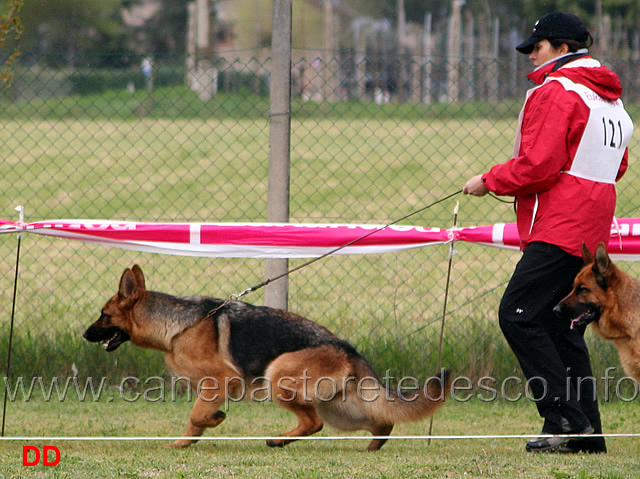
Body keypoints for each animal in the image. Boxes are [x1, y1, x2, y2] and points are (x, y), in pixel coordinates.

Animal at [84, 266, 450, 450]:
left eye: (104, 315)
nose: (85, 335)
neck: (177, 325)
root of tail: (347, 347)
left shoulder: (222, 381)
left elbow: (197, 414)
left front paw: (213, 420)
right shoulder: (208, 387)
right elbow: (194, 419)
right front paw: (184, 443)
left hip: (280, 376)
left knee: (313, 423)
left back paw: (277, 440)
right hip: (341, 410)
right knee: (381, 420)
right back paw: (373, 446)